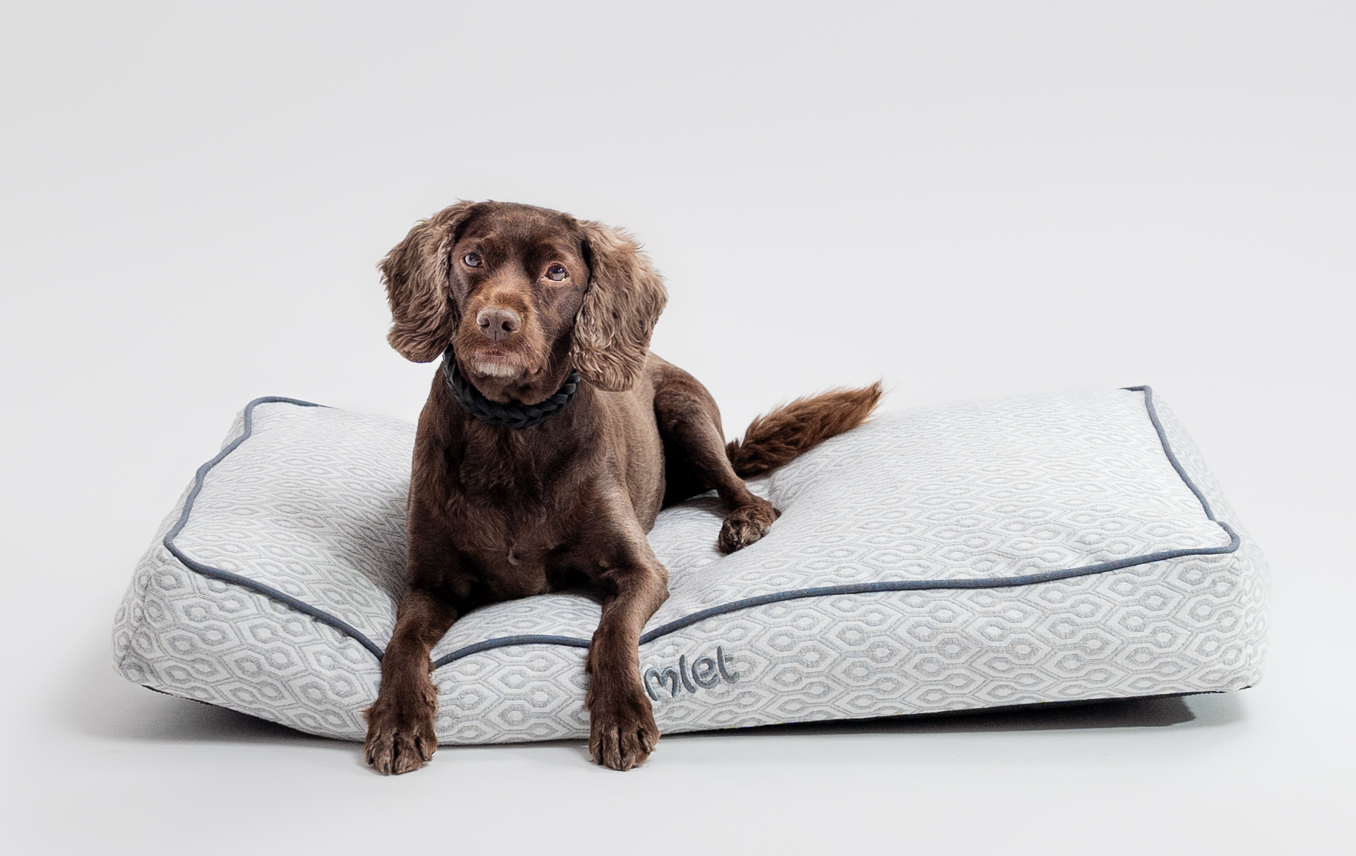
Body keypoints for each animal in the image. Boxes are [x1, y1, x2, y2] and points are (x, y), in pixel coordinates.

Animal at [366, 202, 884, 775]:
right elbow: (401, 642)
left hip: (685, 411)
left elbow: (613, 631)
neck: (510, 430)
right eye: (472, 259)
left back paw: (746, 521)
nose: (496, 321)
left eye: (557, 272)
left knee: (747, 491)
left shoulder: (641, 570)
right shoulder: (428, 585)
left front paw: (620, 715)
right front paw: (398, 721)